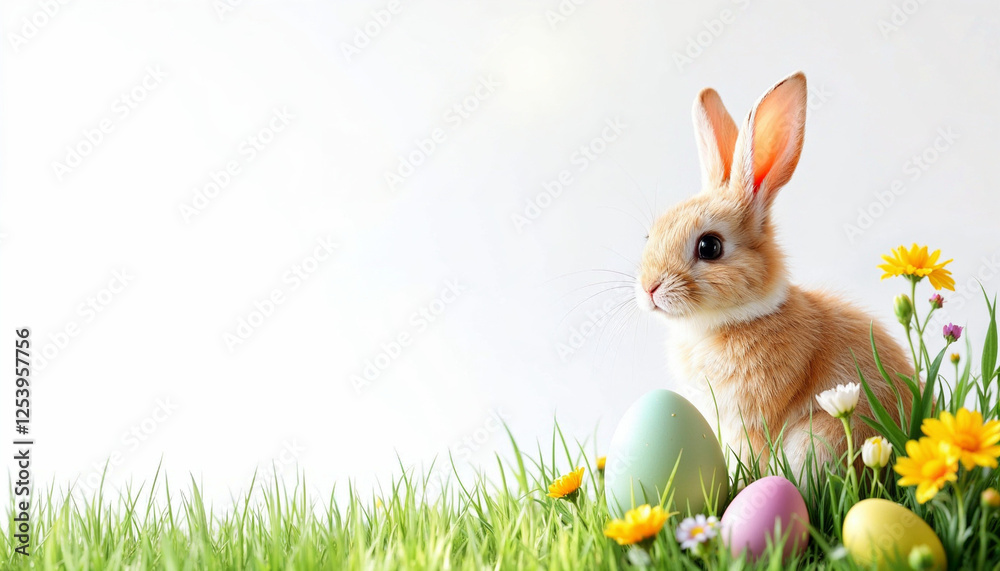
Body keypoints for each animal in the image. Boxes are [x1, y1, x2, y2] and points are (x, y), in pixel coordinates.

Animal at [634, 71, 912, 479]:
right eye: (649, 235)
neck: (730, 321)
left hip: (818, 440)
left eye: (709, 247)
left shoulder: (750, 423)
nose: (649, 288)